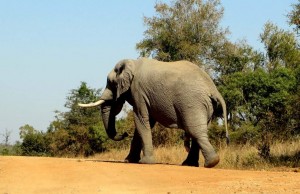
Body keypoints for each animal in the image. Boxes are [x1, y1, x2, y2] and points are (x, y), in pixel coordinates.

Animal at [78, 57, 229, 168]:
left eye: (111, 83)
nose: (125, 133)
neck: (132, 63)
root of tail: (213, 89)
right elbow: (144, 124)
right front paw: (129, 161)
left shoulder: (138, 91)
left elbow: (141, 120)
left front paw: (144, 163)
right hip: (206, 106)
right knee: (199, 131)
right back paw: (191, 164)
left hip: (192, 102)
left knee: (195, 130)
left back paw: (210, 163)